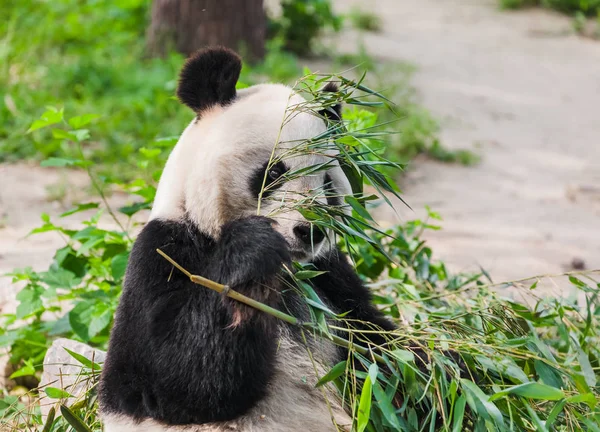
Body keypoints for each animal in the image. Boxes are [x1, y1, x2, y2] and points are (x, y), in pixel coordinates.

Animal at [100, 47, 396, 432]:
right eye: (273, 172)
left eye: (328, 184)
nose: (309, 231)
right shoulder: (165, 250)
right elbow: (160, 378)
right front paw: (252, 248)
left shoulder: (329, 276)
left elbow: (382, 348)